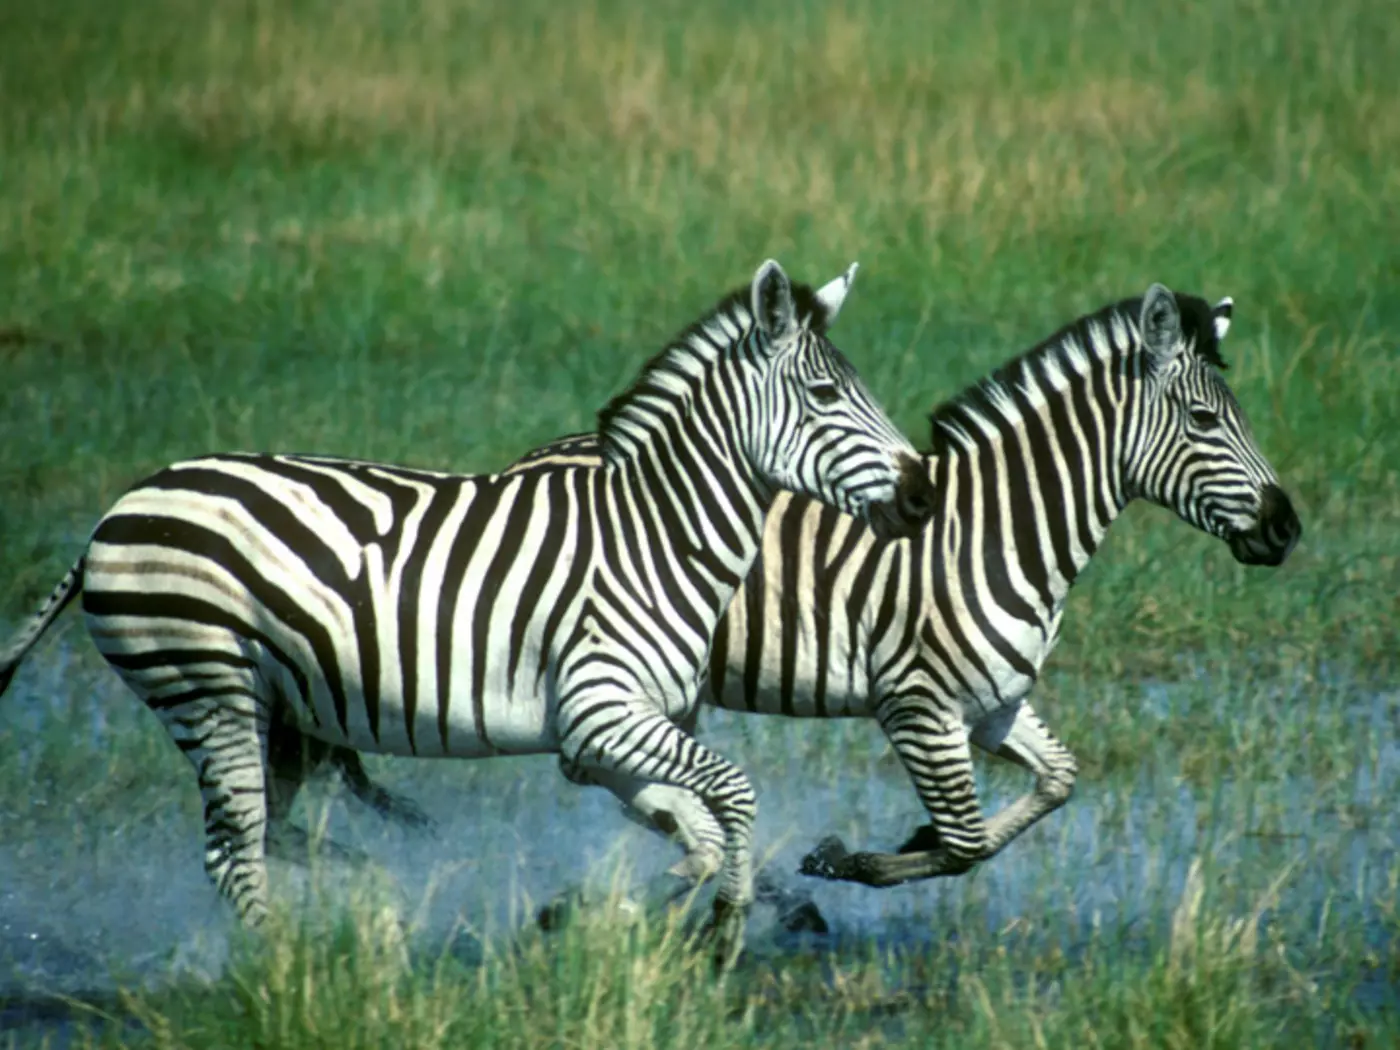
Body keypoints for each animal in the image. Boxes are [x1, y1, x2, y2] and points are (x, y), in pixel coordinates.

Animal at [0, 259, 938, 966]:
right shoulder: (601, 713)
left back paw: (357, 905)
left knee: (265, 835)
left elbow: (698, 831)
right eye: (825, 396)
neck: (657, 536)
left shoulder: (607, 737)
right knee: (233, 854)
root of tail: (116, 512)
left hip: (280, 707)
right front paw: (723, 926)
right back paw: (286, 965)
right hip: (204, 683)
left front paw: (605, 913)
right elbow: (733, 799)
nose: (925, 494)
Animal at [403, 281, 1299, 894]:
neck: (996, 531)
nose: (1287, 528)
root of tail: (531, 459)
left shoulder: (994, 704)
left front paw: (901, 841)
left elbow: (1055, 783)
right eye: (1205, 421)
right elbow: (966, 844)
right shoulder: (918, 705)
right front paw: (852, 860)